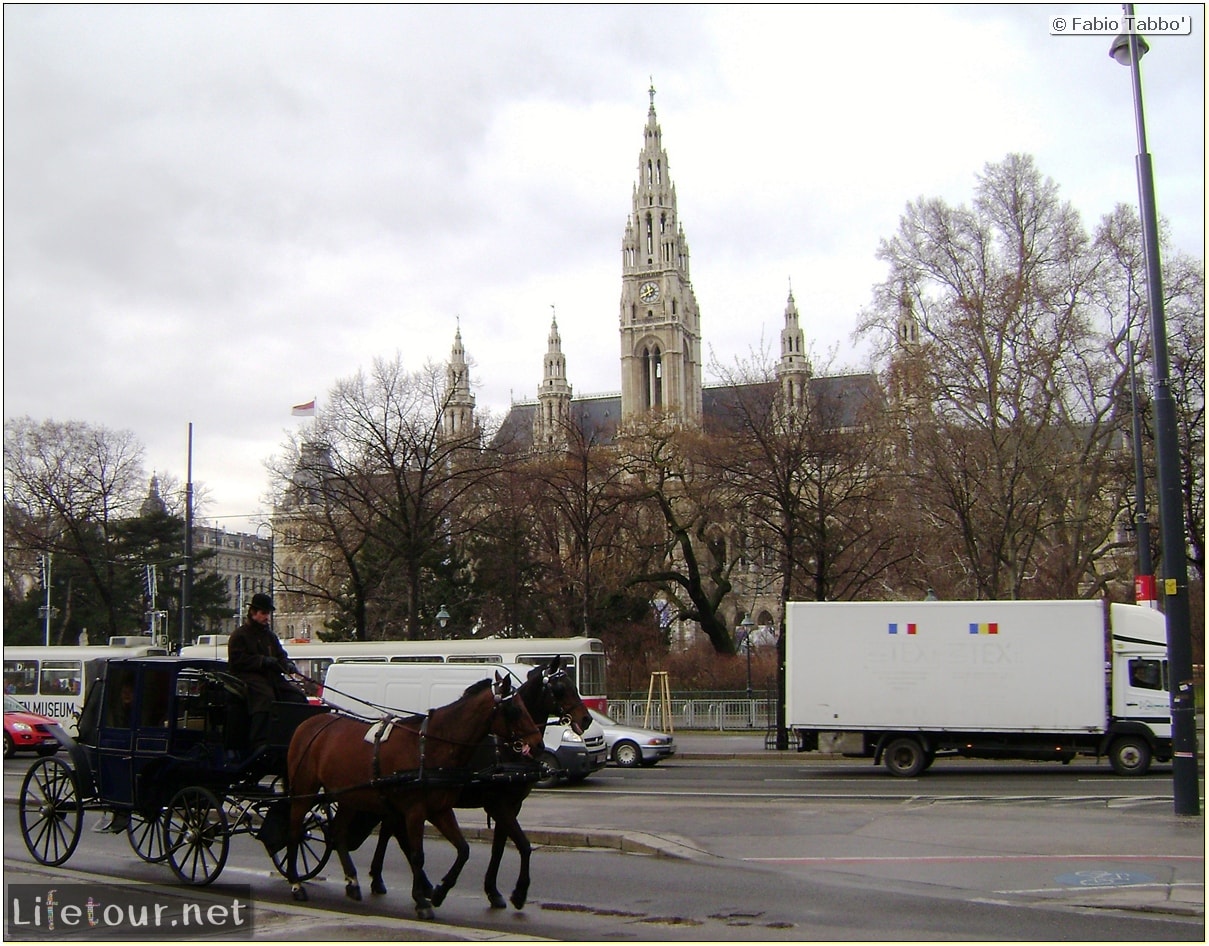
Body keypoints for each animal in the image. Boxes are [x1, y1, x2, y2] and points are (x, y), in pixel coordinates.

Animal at [282, 672, 539, 919]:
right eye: (515, 709)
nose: (537, 741)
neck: (431, 747)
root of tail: (311, 723)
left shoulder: (440, 809)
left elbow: (463, 850)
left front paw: (440, 891)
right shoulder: (416, 811)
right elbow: (417, 855)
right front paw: (422, 901)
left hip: (349, 797)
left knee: (339, 833)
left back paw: (353, 882)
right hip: (304, 790)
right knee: (294, 831)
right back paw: (296, 883)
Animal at [367, 658, 594, 909]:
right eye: (561, 688)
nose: (587, 718)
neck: (507, 748)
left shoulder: (512, 805)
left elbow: (499, 848)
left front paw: (493, 890)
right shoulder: (497, 804)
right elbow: (524, 845)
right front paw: (519, 892)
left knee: (389, 830)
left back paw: (386, 879)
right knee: (393, 832)